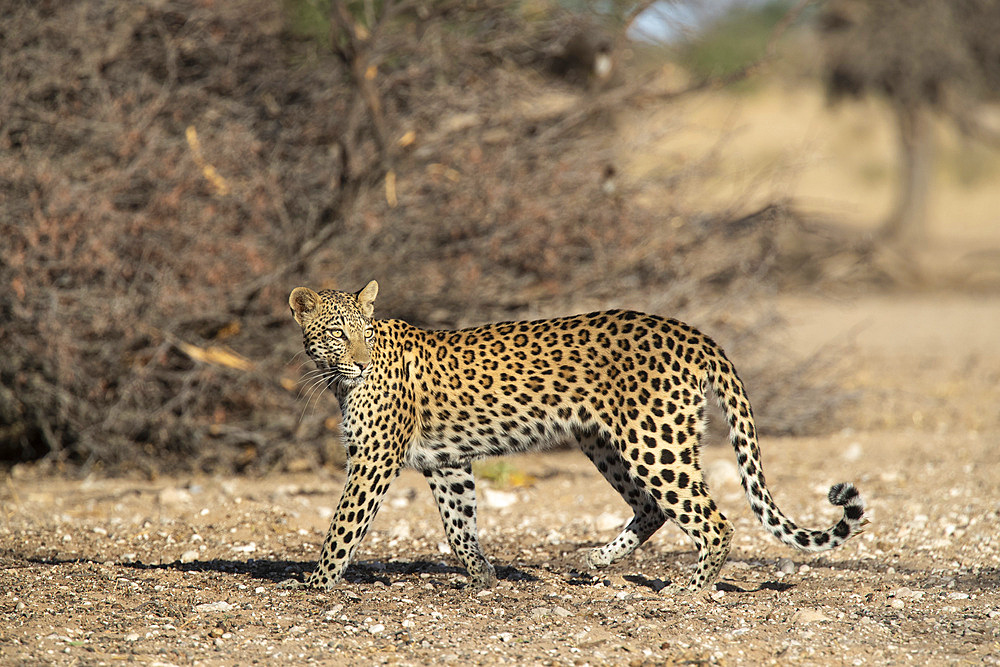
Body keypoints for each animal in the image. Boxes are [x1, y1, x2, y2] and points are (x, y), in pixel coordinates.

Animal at [290, 280, 868, 592]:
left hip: (653, 442)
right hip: (606, 443)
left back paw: (688, 589)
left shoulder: (374, 459)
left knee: (713, 521)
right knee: (653, 508)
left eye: (365, 333)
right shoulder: (446, 462)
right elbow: (460, 525)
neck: (338, 380)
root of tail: (694, 333)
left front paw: (316, 586)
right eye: (339, 333)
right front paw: (483, 578)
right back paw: (596, 562)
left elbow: (343, 526)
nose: (361, 363)